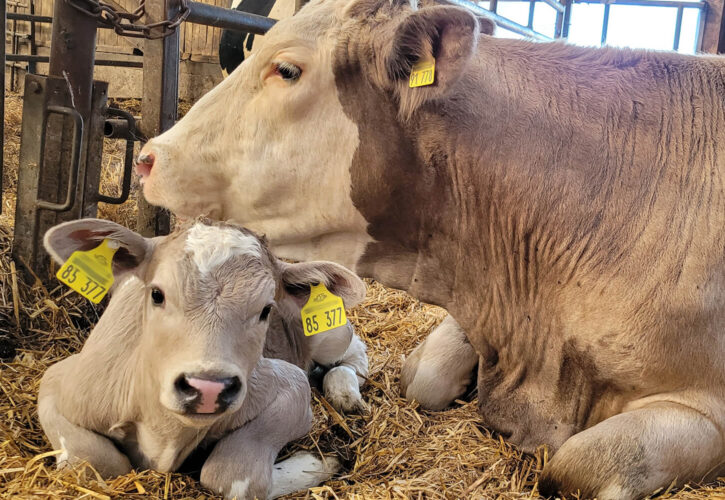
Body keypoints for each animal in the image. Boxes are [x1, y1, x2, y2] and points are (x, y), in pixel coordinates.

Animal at [38, 219, 368, 500]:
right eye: (156, 294)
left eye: (266, 310)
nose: (208, 388)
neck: (165, 433)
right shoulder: (60, 380)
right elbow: (94, 465)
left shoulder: (290, 386)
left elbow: (231, 476)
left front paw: (323, 460)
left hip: (331, 333)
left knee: (354, 352)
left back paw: (345, 393)